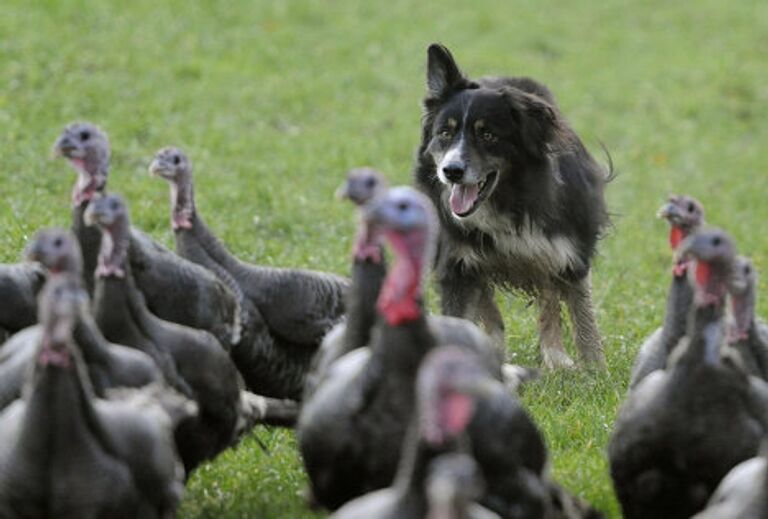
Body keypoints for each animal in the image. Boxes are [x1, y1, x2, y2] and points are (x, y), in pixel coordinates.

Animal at [414, 44, 612, 370]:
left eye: (487, 134)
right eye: (445, 133)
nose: (451, 171)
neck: (510, 200)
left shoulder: (569, 253)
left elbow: (582, 317)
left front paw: (595, 372)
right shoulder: (458, 264)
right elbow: (464, 316)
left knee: (548, 301)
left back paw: (556, 358)